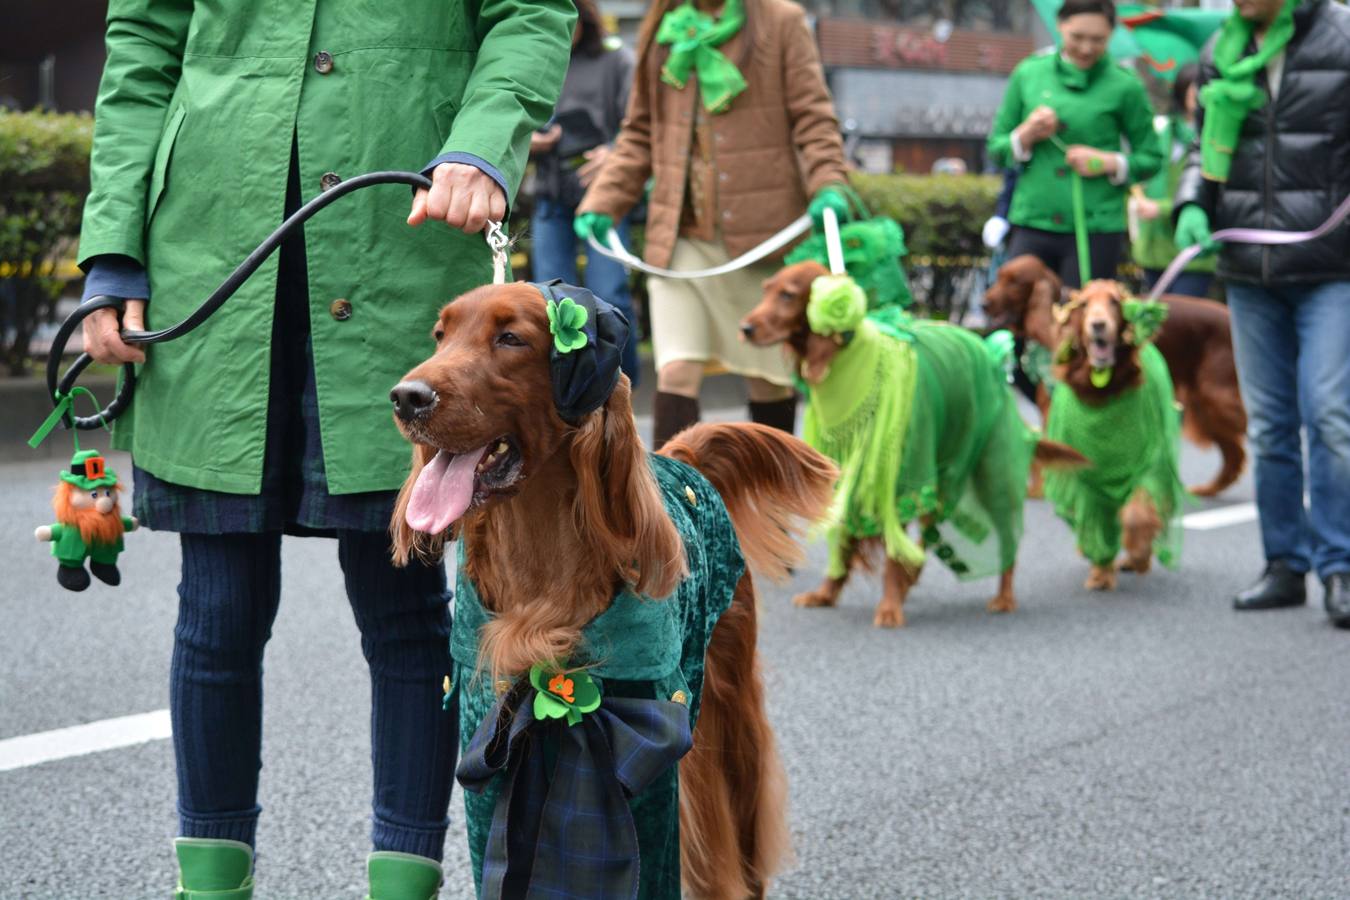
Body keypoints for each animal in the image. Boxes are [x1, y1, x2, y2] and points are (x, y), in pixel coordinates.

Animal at [386, 283, 837, 900]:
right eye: (441, 335)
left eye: (510, 338)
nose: (406, 398)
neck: (540, 564)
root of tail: (682, 458)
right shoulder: (490, 754)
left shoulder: (645, 756)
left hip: (732, 710)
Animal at [982, 253, 1242, 496]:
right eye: (999, 276)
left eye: (1014, 282)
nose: (984, 304)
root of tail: (1229, 315)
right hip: (1204, 406)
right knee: (1234, 452)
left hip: (1216, 399)